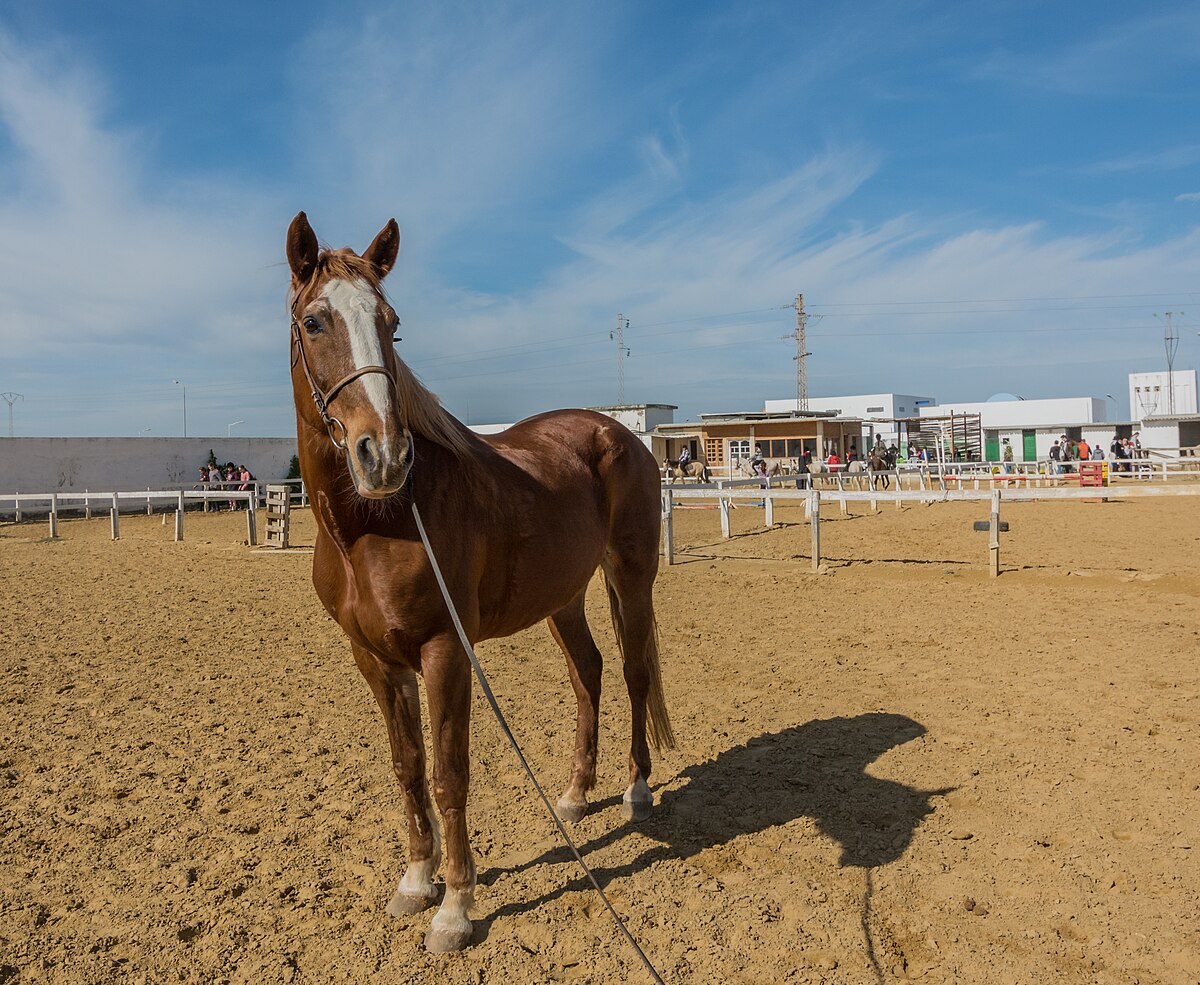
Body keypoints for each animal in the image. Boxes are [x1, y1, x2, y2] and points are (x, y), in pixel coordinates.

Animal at [283, 211, 676, 950]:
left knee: (635, 671)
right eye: (316, 321)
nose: (385, 455)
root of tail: (619, 432)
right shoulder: (375, 659)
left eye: (391, 323)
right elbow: (408, 767)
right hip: (564, 598)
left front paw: (456, 908)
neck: (375, 525)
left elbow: (448, 774)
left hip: (631, 575)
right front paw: (415, 881)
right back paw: (575, 794)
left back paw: (637, 790)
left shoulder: (444, 650)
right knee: (589, 672)